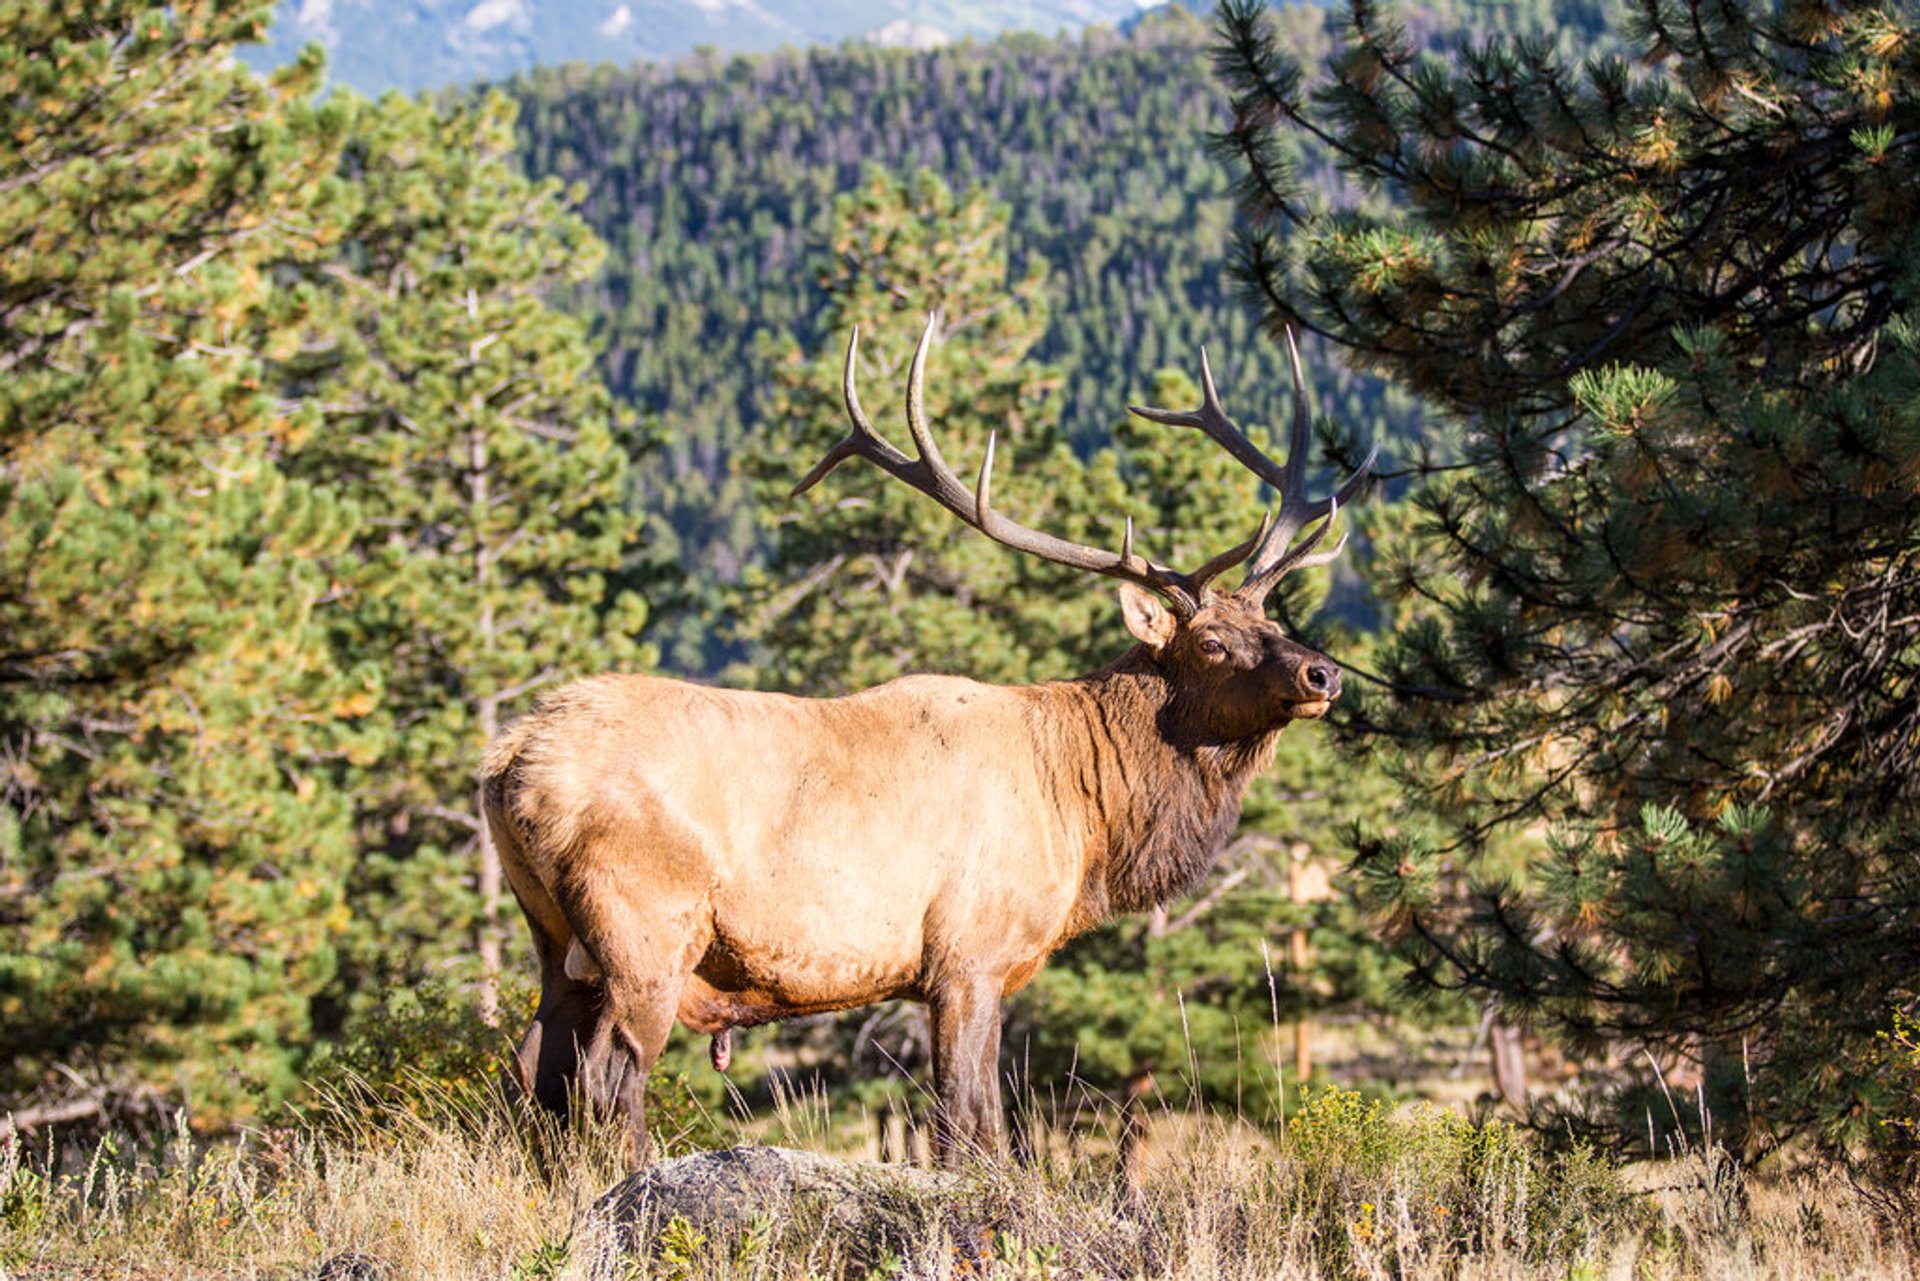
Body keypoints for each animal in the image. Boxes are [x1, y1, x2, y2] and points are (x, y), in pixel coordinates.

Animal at [487, 314, 1374, 1167]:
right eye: (1213, 642)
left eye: (1272, 618)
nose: (1323, 673)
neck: (1086, 815)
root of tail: (505, 761)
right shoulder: (969, 955)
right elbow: (971, 1125)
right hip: (645, 923)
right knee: (611, 1073)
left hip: (554, 937)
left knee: (536, 1067)